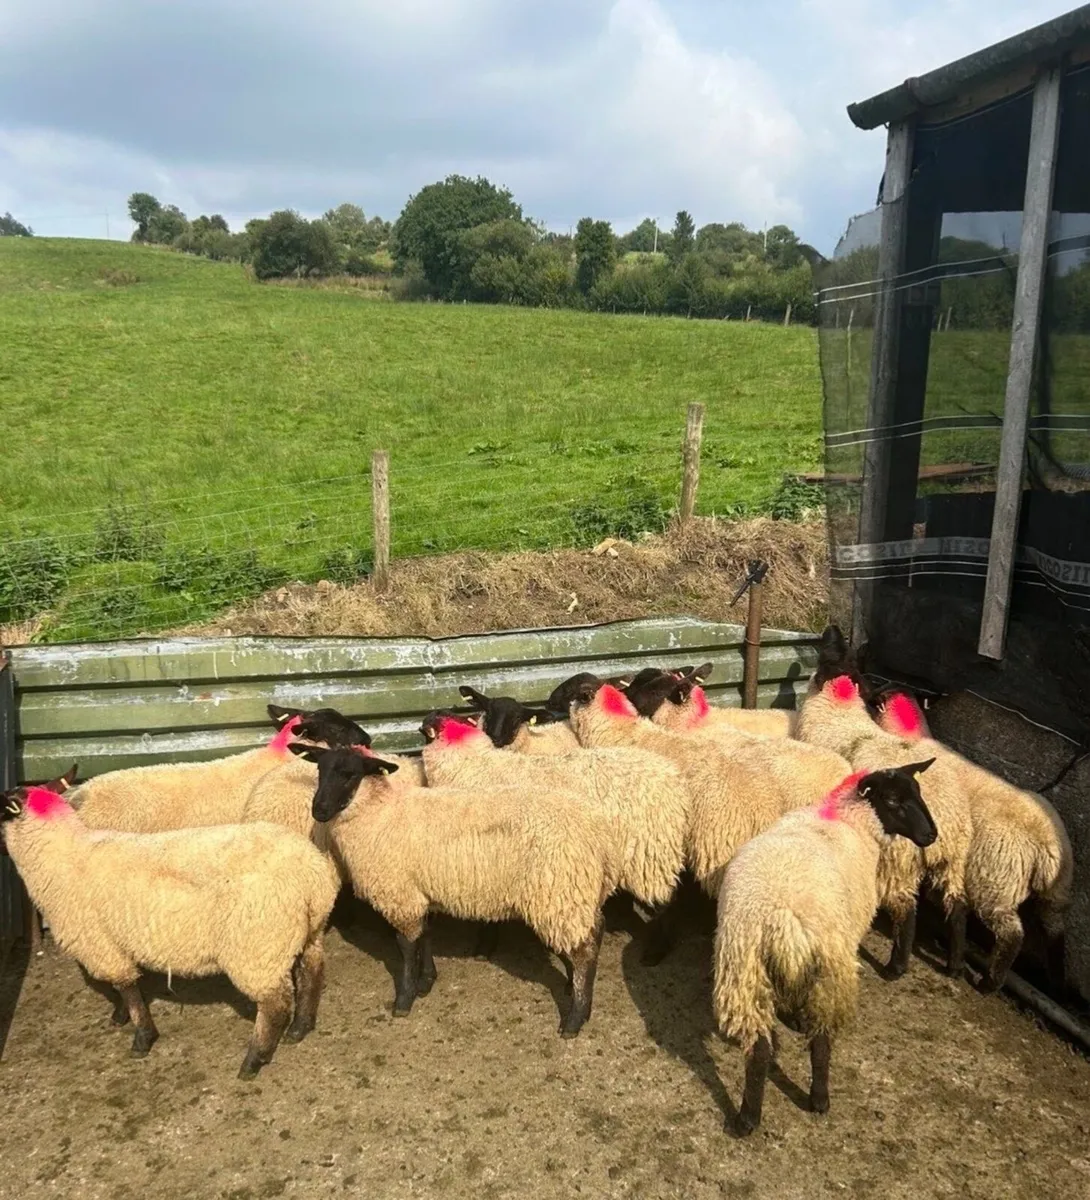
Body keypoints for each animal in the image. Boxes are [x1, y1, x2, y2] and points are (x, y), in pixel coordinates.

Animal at [1, 778, 339, 1078]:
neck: (60, 855)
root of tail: (310, 874)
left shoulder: (100, 945)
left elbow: (126, 988)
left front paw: (141, 1037)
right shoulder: (112, 945)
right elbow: (122, 989)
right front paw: (120, 1016)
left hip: (256, 947)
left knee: (275, 1005)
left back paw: (254, 1060)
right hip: (307, 933)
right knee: (312, 973)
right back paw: (301, 1027)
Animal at [290, 744, 616, 1037]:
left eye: (350, 774)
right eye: (319, 770)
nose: (319, 811)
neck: (379, 813)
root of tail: (598, 832)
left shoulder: (401, 894)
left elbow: (405, 945)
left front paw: (404, 999)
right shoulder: (420, 892)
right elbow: (425, 936)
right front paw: (426, 981)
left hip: (557, 892)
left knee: (584, 950)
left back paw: (575, 1019)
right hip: (575, 893)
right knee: (593, 932)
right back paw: (576, 996)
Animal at [419, 710, 688, 963]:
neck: (473, 764)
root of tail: (672, 777)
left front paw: (485, 946)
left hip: (649, 854)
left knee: (667, 902)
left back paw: (657, 951)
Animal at [713, 760, 937, 1134]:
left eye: (918, 791)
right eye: (893, 800)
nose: (932, 836)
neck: (851, 819)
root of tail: (783, 917)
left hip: (742, 969)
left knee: (759, 1051)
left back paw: (747, 1118)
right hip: (828, 972)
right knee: (820, 1043)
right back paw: (819, 1099)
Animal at [870, 688, 1072, 990]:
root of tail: (1046, 844)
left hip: (995, 881)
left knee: (1012, 933)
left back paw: (989, 982)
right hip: (1055, 894)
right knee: (1055, 933)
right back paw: (1056, 984)